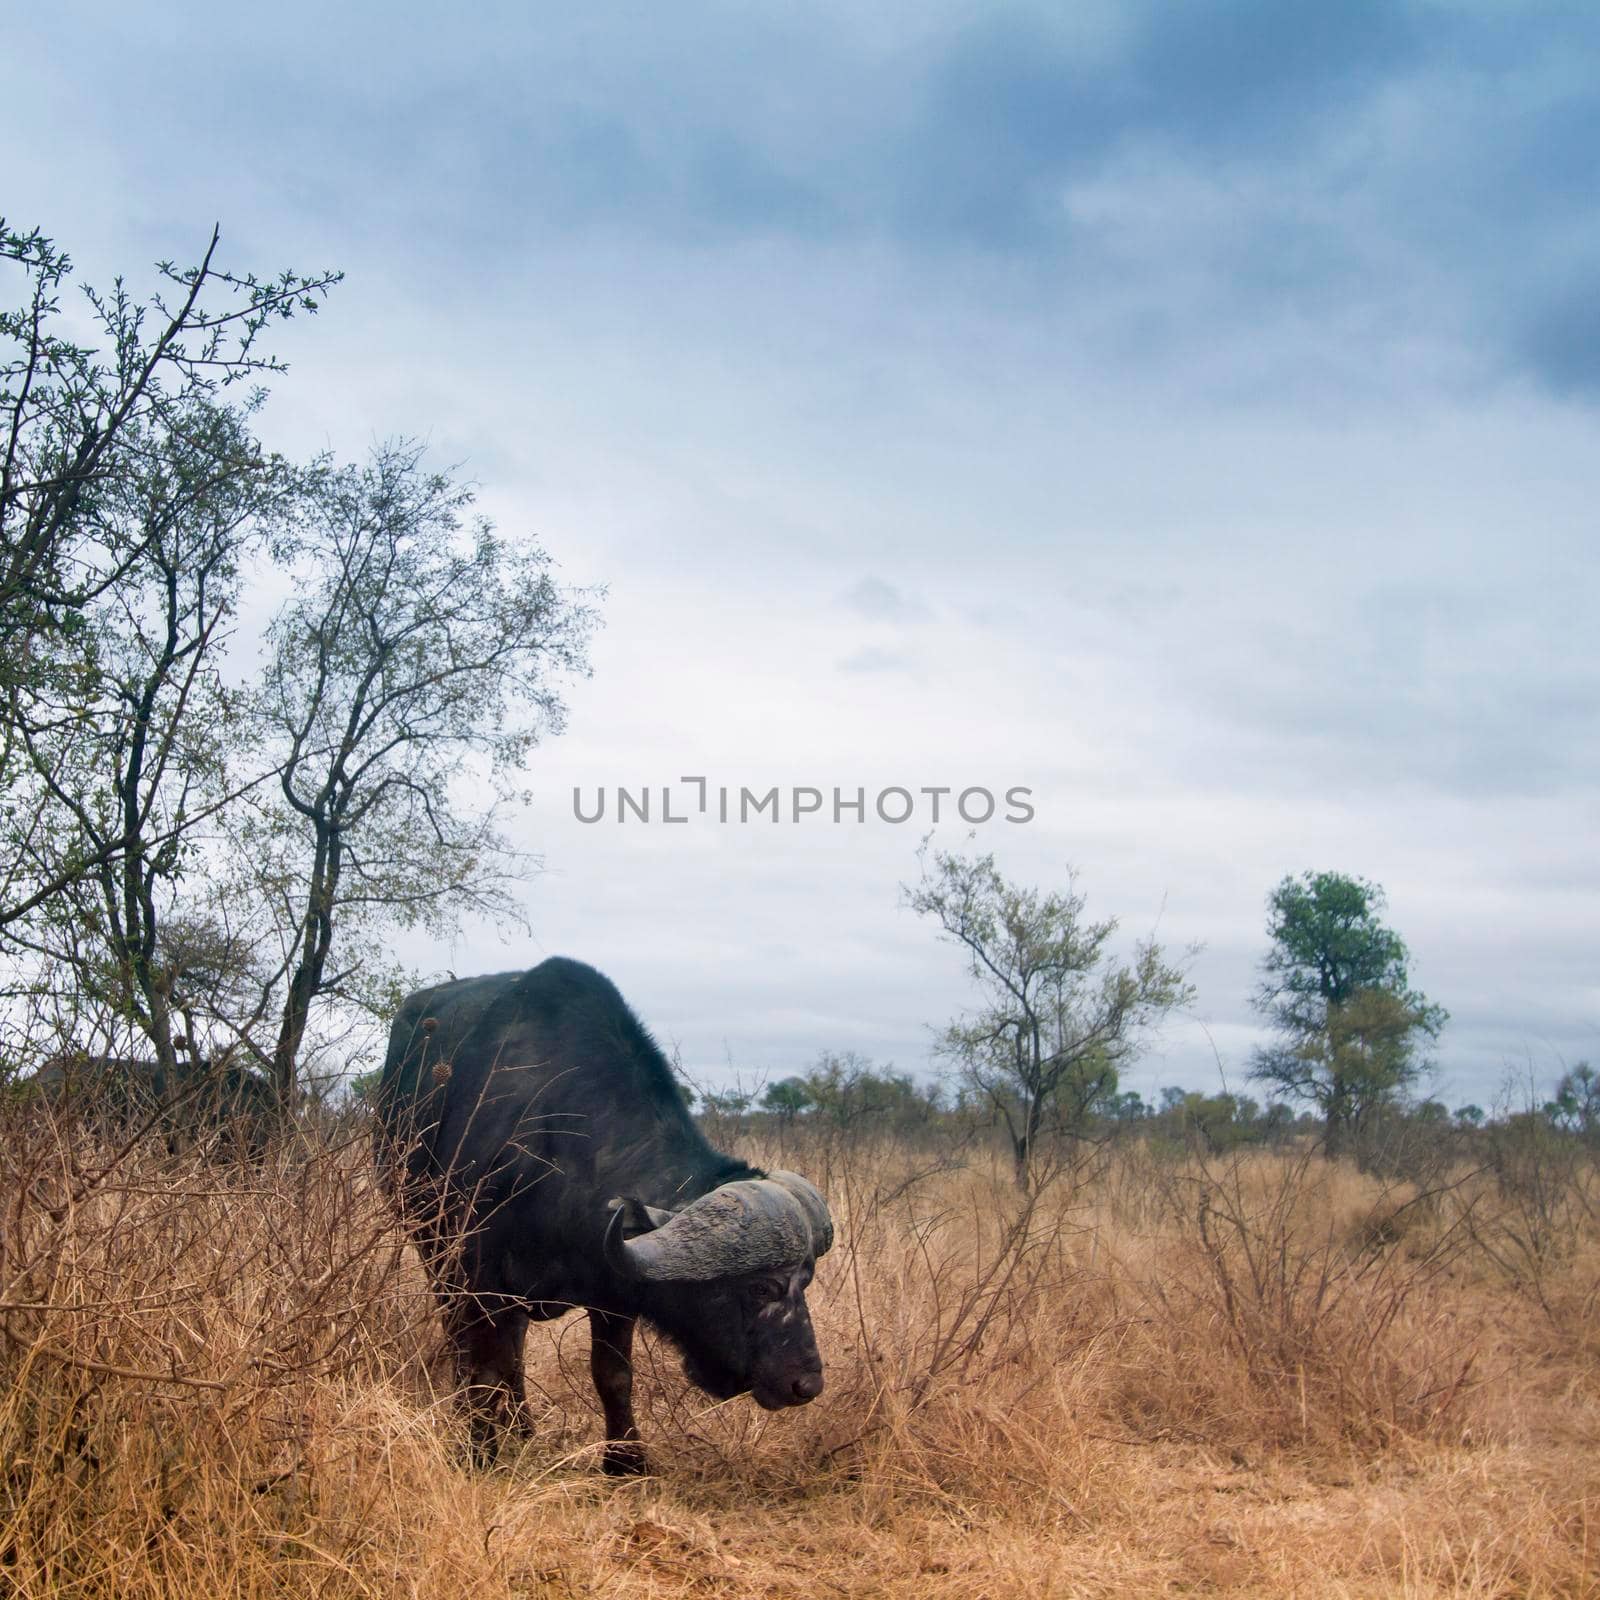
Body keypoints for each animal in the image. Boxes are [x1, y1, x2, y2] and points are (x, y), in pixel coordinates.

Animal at [369, 953, 832, 1465]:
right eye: (761, 1287)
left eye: (807, 1280)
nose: (806, 1384)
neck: (553, 1145)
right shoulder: (476, 1274)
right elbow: (484, 1367)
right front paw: (480, 1451)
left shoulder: (613, 1288)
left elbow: (612, 1375)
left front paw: (626, 1460)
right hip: (430, 1245)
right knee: (461, 1339)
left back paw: (522, 1427)